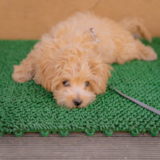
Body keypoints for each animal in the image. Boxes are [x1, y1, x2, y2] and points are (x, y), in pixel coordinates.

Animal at [11, 11, 157, 108]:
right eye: (65, 82)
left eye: (87, 84)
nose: (78, 102)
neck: (71, 45)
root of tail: (118, 25)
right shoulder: (41, 50)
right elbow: (31, 60)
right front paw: (20, 74)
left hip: (122, 51)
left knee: (135, 45)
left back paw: (149, 53)